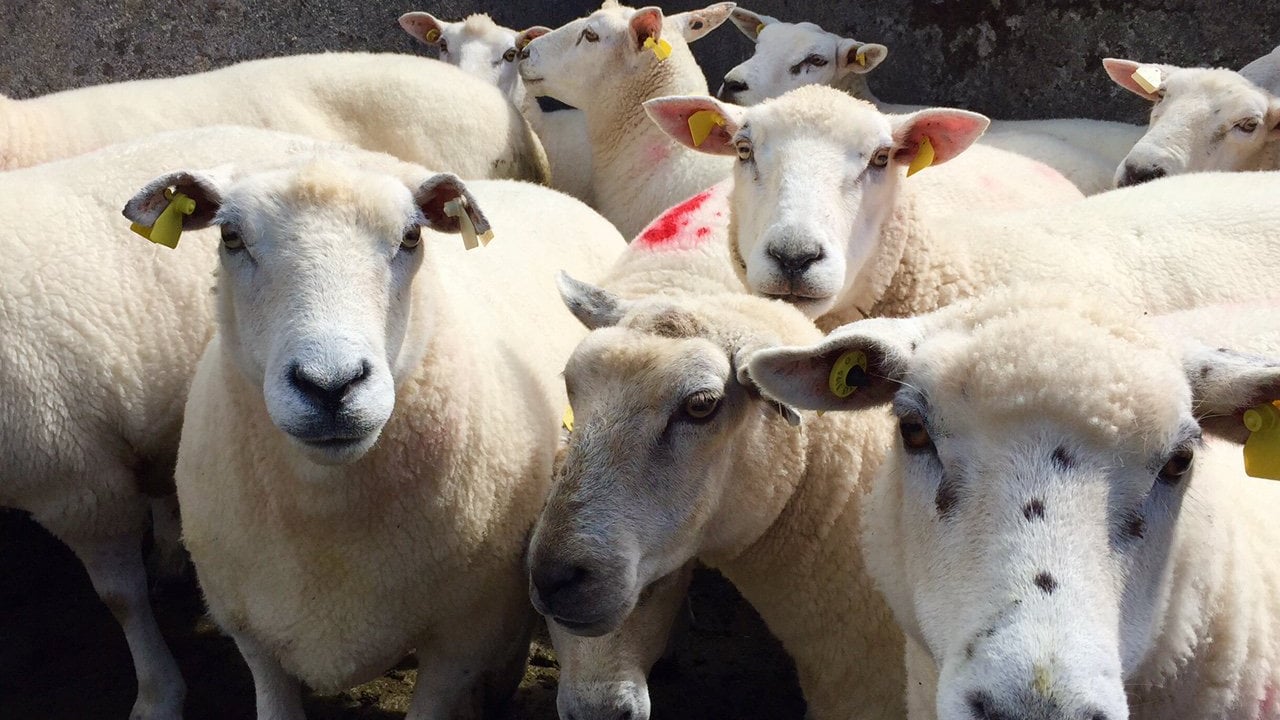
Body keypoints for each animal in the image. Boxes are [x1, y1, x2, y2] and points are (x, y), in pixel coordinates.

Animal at [121, 150, 625, 718]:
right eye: (230, 236)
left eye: (411, 236)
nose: (329, 385)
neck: (327, 517)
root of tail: (538, 188)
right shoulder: (250, 630)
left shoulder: (461, 638)